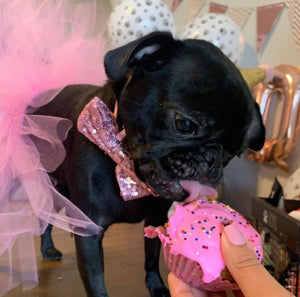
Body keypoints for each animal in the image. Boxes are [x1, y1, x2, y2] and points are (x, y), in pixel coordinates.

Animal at [35, 31, 264, 294]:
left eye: (234, 153)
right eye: (185, 124)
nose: (213, 159)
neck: (128, 171)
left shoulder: (155, 219)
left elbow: (151, 257)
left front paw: (156, 286)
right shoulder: (90, 232)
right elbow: (96, 282)